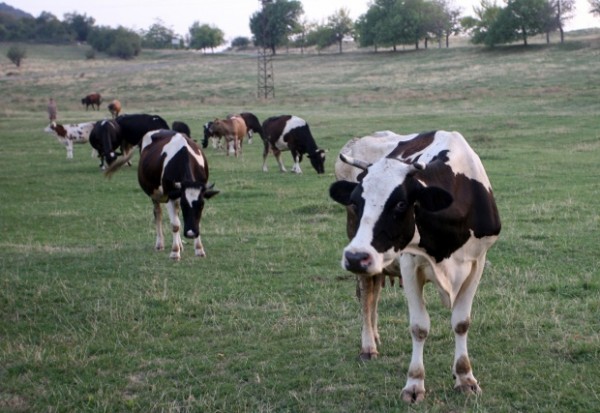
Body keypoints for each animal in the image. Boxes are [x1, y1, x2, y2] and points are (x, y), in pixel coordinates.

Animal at [137, 129, 219, 260]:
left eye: (201, 205)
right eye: (184, 204)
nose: (191, 233)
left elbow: (196, 222)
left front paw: (199, 249)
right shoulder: (170, 196)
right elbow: (175, 225)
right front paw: (175, 252)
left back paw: (180, 244)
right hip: (154, 194)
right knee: (158, 213)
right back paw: (160, 244)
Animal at [328, 130, 502, 402]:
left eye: (401, 204)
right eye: (356, 202)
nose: (355, 257)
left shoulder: (477, 263)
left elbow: (461, 322)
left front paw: (465, 377)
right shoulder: (410, 265)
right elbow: (419, 327)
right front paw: (414, 384)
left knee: (374, 294)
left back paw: (375, 336)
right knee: (366, 295)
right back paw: (368, 345)